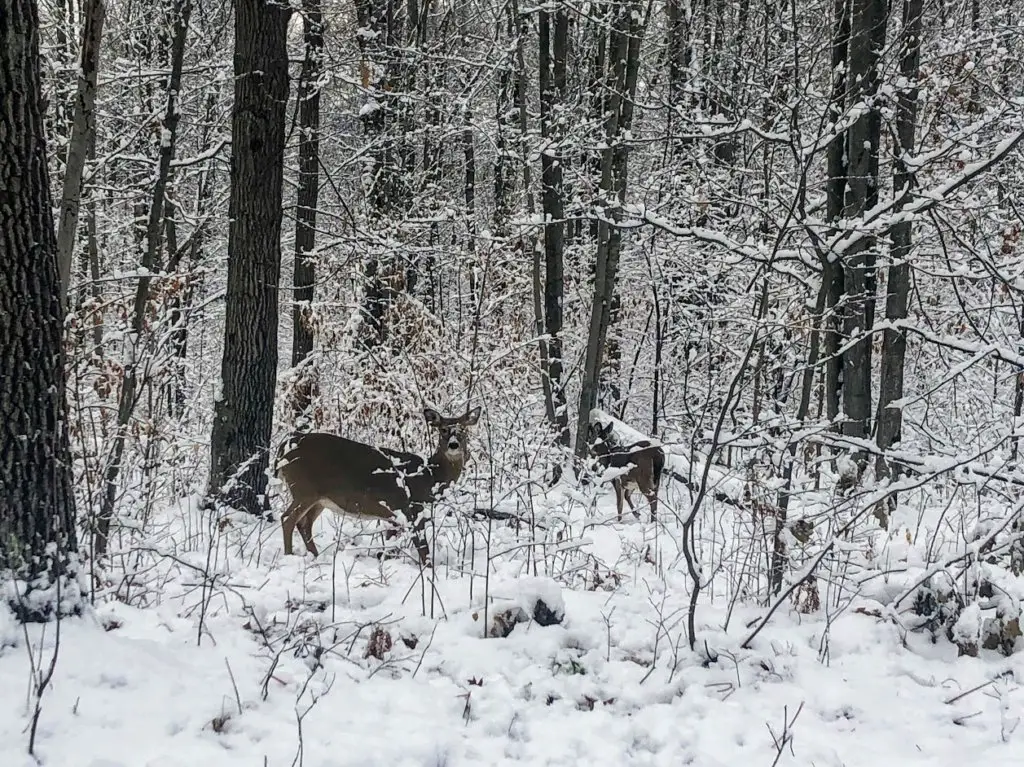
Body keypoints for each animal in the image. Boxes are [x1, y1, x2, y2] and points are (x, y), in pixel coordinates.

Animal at [272, 407, 479, 561]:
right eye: (443, 430)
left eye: (463, 430)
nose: (454, 445)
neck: (430, 476)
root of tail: (284, 448)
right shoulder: (412, 510)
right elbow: (424, 551)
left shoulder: (395, 516)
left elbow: (389, 546)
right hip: (303, 489)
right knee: (287, 519)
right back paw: (289, 555)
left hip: (319, 498)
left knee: (304, 524)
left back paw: (315, 556)